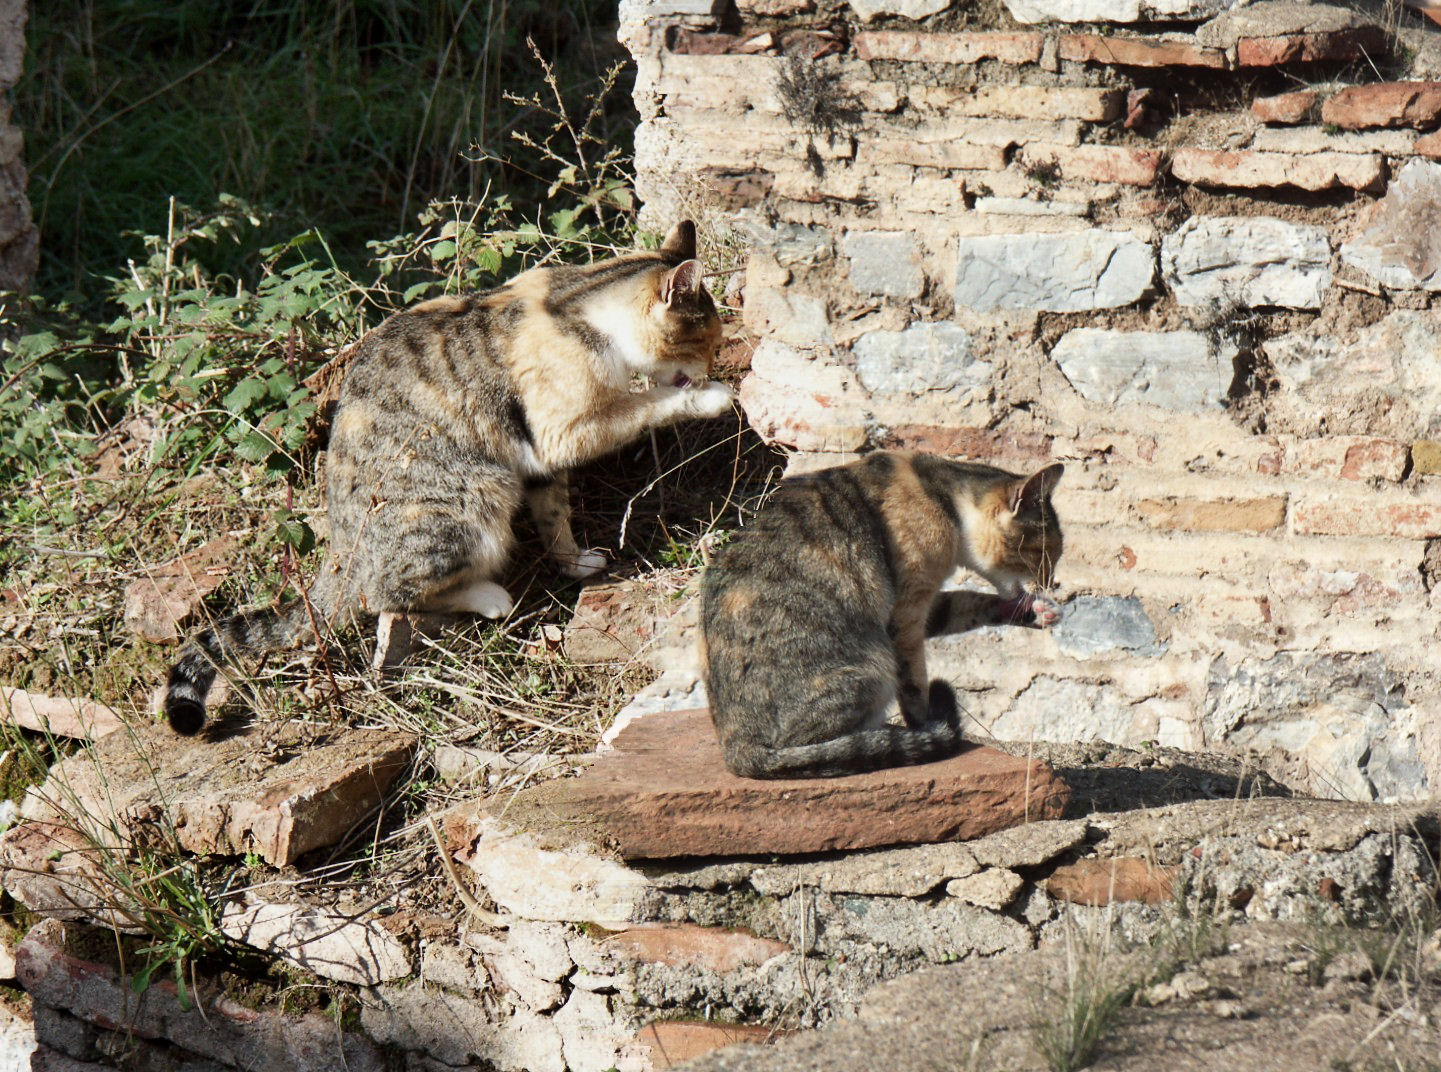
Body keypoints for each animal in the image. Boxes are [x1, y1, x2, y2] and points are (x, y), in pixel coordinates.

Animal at [164, 220, 737, 731]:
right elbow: (646, 403)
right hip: (475, 496)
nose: (711, 367)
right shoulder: (563, 429)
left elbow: (554, 516)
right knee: (385, 595)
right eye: (706, 342)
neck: (576, 302)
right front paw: (710, 397)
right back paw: (489, 597)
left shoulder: (538, 458)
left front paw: (574, 563)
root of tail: (339, 555)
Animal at [703, 449, 1066, 778]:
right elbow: (916, 686)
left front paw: (1037, 611)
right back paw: (889, 740)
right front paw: (926, 726)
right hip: (873, 665)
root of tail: (736, 746)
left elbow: (968, 603)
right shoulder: (906, 614)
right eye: (1045, 553)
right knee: (812, 748)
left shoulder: (926, 605)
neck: (941, 495)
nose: (1053, 584)